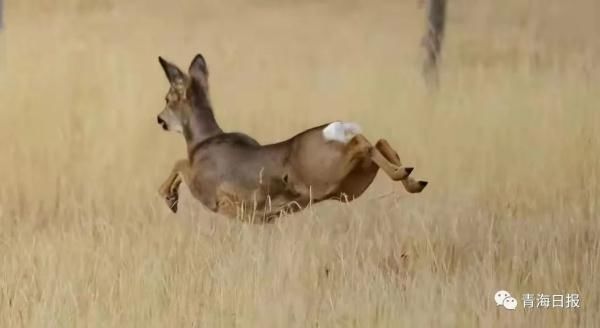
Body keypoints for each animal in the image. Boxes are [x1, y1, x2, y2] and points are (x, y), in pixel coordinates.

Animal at [155, 53, 426, 223]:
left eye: (168, 99)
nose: (159, 119)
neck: (202, 142)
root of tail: (339, 129)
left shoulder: (207, 192)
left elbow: (179, 163)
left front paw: (170, 199)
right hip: (351, 186)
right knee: (378, 142)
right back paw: (413, 178)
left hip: (328, 176)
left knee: (364, 144)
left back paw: (405, 174)